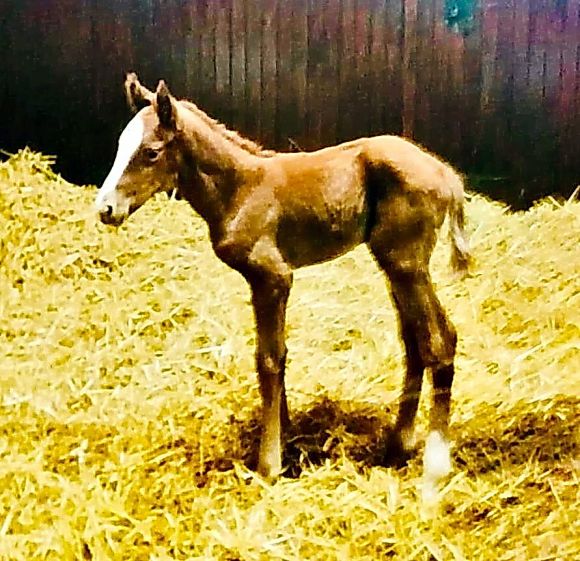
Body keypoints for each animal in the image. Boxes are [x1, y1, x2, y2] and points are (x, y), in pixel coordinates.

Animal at [96, 75, 472, 498]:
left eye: (151, 152)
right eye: (120, 146)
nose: (105, 208)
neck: (239, 189)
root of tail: (447, 175)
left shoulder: (272, 277)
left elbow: (269, 360)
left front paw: (269, 464)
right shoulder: (263, 281)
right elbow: (278, 355)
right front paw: (286, 435)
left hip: (407, 263)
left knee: (440, 340)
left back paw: (435, 464)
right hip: (395, 264)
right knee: (414, 341)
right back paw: (397, 444)